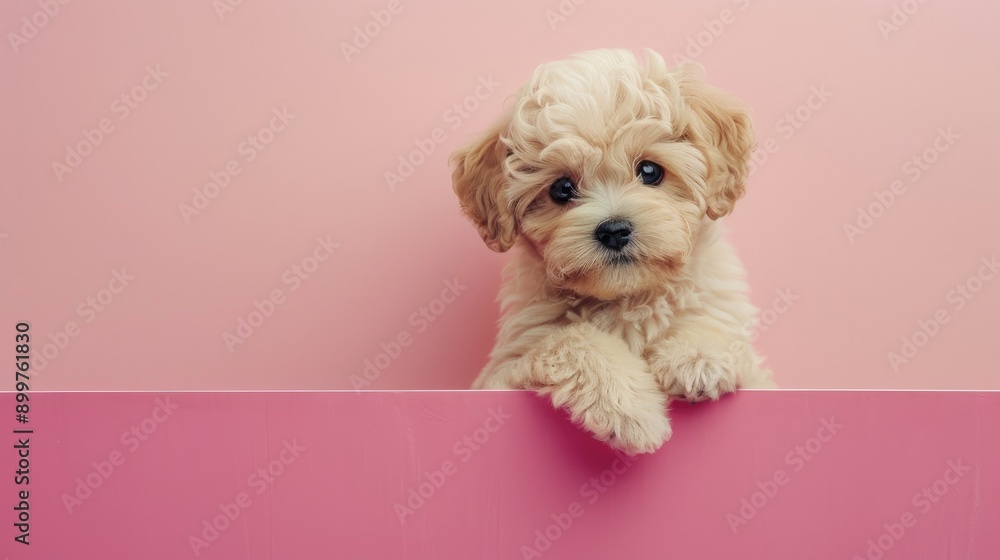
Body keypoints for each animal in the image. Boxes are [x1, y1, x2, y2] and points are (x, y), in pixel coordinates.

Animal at [452, 49, 772, 456]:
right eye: (562, 189)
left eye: (650, 171)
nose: (614, 230)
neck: (628, 299)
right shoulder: (502, 373)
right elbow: (571, 340)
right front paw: (632, 409)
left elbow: (716, 330)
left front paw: (698, 356)